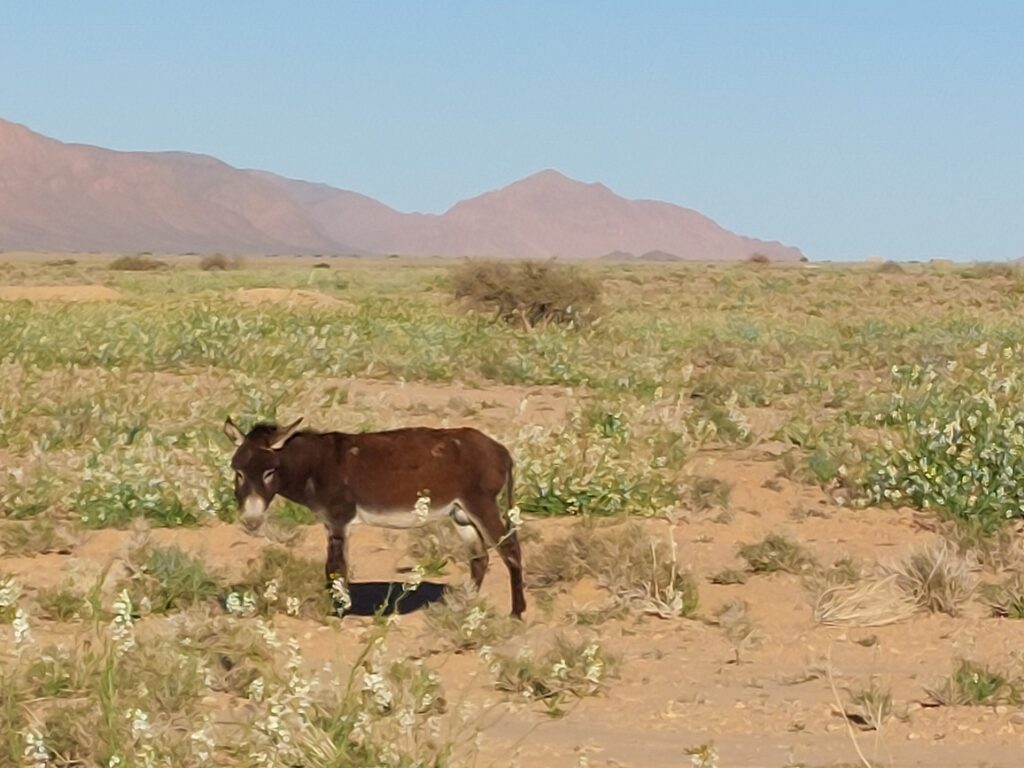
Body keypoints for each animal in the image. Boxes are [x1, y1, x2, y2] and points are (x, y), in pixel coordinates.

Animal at [223, 417, 526, 617]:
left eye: (269, 473)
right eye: (238, 473)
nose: (251, 521)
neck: (314, 465)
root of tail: (500, 450)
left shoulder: (338, 519)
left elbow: (336, 568)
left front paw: (338, 613)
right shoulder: (332, 523)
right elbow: (335, 569)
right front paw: (339, 608)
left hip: (481, 503)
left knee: (510, 549)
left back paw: (516, 613)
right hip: (461, 513)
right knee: (479, 557)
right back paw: (463, 605)